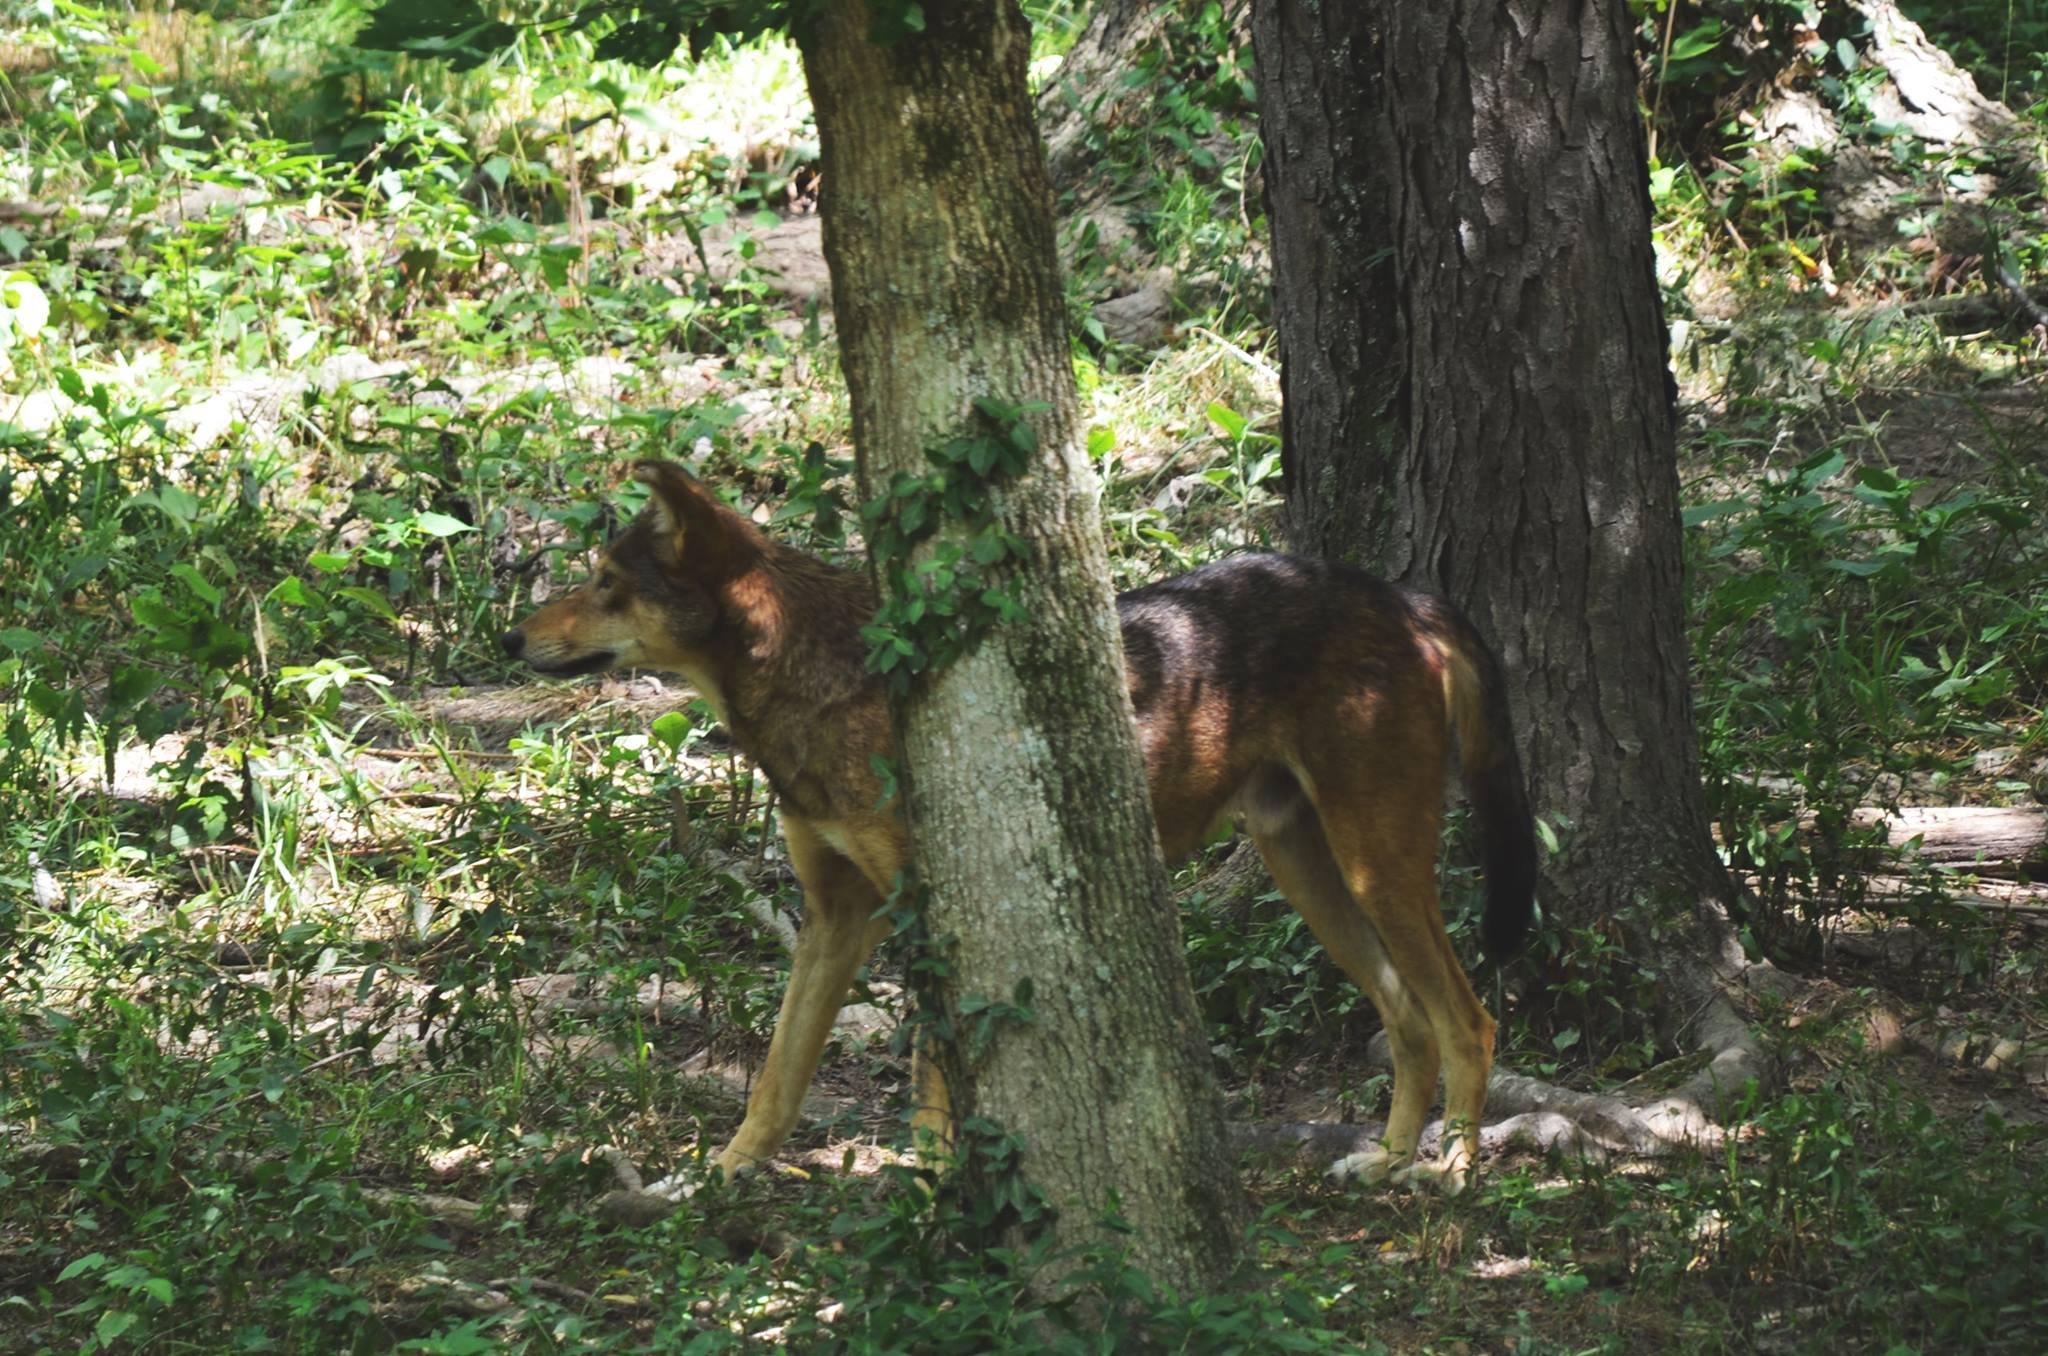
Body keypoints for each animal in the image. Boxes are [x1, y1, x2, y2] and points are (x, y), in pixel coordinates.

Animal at [502, 460, 1536, 1197]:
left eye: (606, 583)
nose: (510, 638)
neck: (819, 683)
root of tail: (1403, 597)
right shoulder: (833, 920)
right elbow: (776, 1077)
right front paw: (717, 1177)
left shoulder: (922, 911)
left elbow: (929, 1078)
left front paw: (932, 1189)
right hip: (1310, 871)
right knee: (1408, 1019)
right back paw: (1389, 1160)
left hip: (1375, 869)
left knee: (1470, 1020)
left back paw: (1451, 1173)